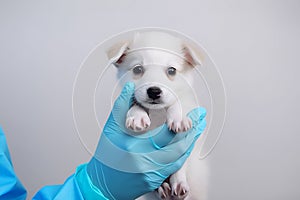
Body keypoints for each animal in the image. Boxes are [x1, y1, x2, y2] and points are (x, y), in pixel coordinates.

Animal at [106, 30, 207, 198]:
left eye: (171, 70)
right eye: (137, 69)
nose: (154, 91)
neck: (157, 112)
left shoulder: (187, 146)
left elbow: (179, 167)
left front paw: (178, 118)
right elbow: (136, 103)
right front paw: (137, 116)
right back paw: (161, 188)